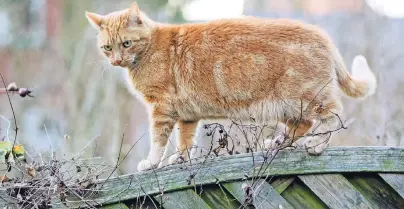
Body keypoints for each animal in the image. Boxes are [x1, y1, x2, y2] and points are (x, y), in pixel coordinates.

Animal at [86, 2, 378, 171]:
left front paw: (152, 163)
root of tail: (323, 37)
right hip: (287, 107)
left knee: (333, 115)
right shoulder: (187, 115)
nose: (116, 60)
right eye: (107, 47)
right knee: (301, 125)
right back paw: (277, 143)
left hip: (306, 99)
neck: (146, 53)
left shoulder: (161, 110)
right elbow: (185, 141)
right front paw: (181, 159)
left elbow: (159, 141)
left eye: (126, 44)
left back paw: (316, 144)